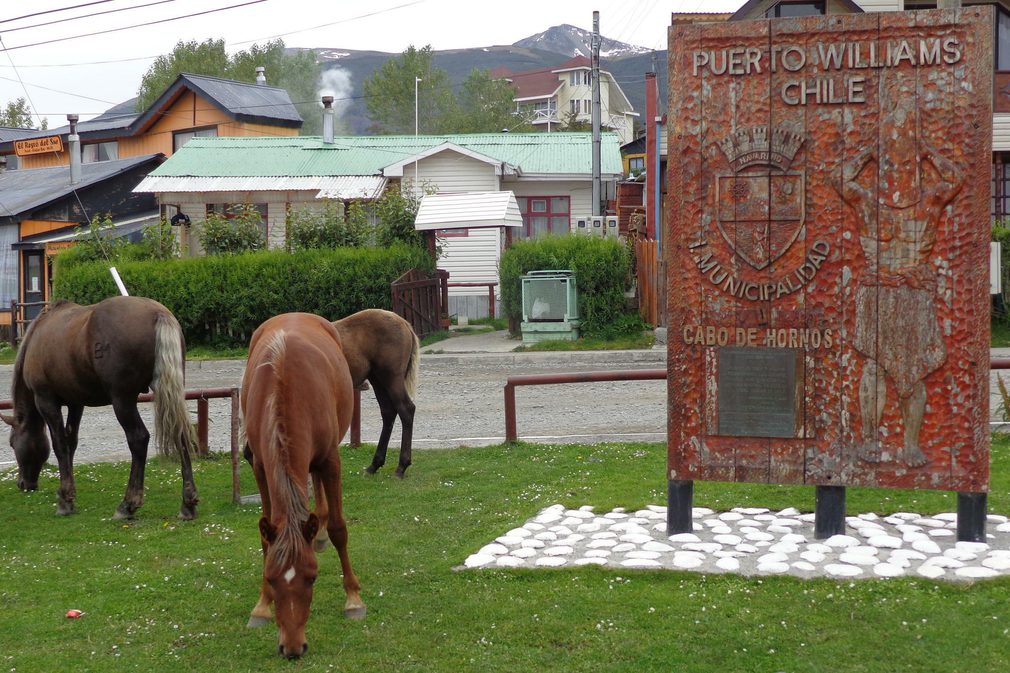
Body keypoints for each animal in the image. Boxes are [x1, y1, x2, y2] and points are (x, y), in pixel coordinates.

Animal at [0, 295, 196, 517]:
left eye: (12, 443)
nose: (23, 484)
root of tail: (158, 313)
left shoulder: (46, 400)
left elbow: (60, 444)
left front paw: (64, 499)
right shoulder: (76, 403)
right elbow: (71, 442)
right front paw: (70, 496)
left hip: (122, 400)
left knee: (138, 439)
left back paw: (128, 504)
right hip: (170, 392)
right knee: (180, 433)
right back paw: (187, 503)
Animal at [240, 311, 367, 658]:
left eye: (312, 578)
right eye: (271, 579)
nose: (293, 648)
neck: (285, 385)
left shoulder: (330, 459)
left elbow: (339, 528)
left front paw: (353, 599)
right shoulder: (260, 467)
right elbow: (266, 540)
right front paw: (261, 607)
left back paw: (318, 531)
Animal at [331, 307, 418, 474]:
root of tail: (404, 323)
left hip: (391, 378)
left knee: (406, 410)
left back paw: (401, 466)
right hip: (377, 379)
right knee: (388, 412)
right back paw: (375, 464)